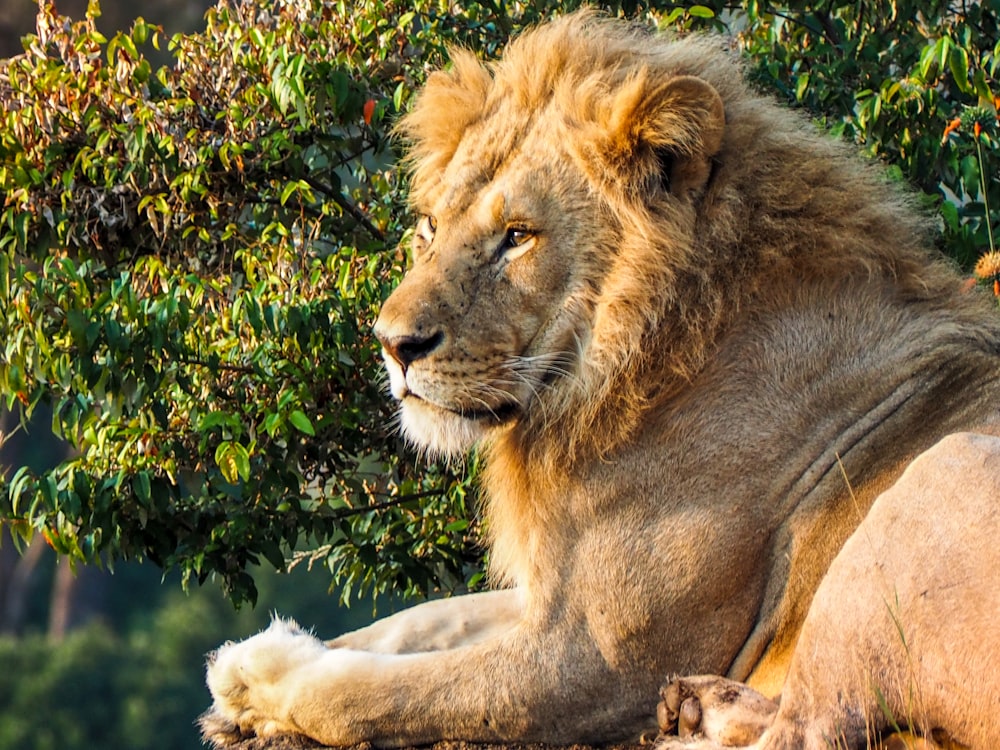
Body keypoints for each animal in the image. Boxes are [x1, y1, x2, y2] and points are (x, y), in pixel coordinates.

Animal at [199, 11, 1000, 750]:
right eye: (429, 225)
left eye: (518, 236)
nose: (394, 345)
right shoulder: (550, 593)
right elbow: (420, 620)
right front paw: (255, 659)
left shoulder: (591, 663)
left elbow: (376, 695)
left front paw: (261, 680)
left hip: (934, 476)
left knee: (810, 727)